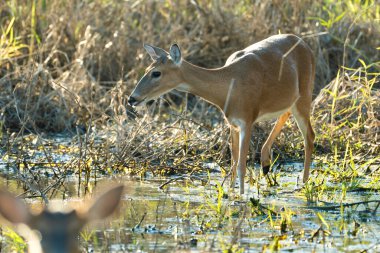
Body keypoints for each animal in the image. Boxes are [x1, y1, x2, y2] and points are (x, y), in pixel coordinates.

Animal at [129, 34, 316, 196]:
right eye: (147, 69)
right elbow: (233, 163)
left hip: (305, 95)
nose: (132, 98)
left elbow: (241, 166)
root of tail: (306, 45)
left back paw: (303, 184)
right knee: (286, 114)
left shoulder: (247, 120)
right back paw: (265, 163)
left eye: (156, 72)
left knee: (309, 136)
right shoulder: (232, 123)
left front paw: (241, 196)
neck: (228, 85)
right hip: (290, 99)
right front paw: (232, 192)